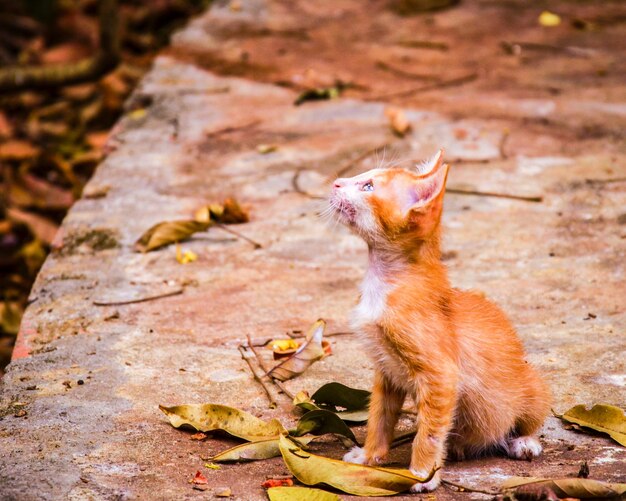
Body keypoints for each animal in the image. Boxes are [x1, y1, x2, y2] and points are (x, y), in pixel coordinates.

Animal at [330, 150, 548, 490]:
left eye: (368, 186)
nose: (336, 183)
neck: (385, 281)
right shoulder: (386, 370)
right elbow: (380, 417)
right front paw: (369, 456)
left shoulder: (441, 376)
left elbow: (430, 433)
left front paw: (422, 474)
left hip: (531, 383)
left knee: (528, 416)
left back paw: (523, 441)